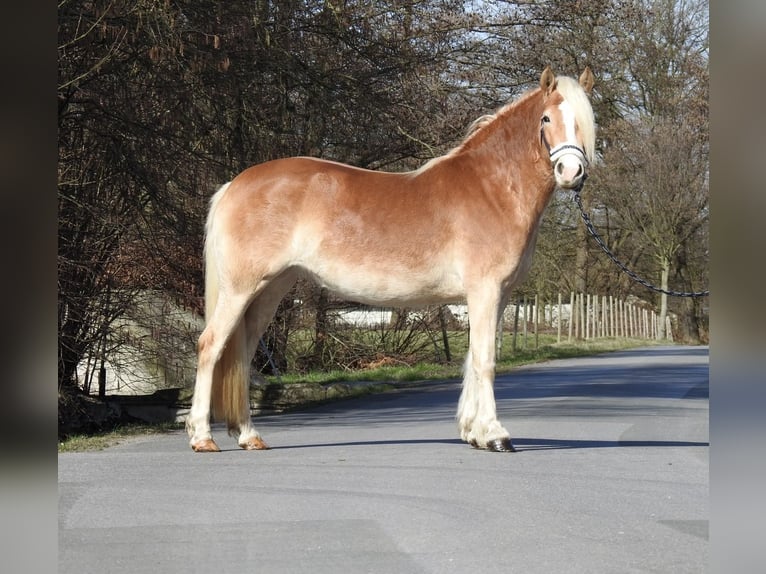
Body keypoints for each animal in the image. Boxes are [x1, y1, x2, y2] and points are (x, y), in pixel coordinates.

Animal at [188, 67, 600, 454]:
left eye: (585, 118)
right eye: (546, 119)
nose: (571, 172)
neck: (492, 187)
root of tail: (233, 186)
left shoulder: (496, 298)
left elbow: (472, 360)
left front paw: (473, 432)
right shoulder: (485, 292)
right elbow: (485, 361)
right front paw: (496, 435)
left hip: (269, 290)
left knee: (241, 353)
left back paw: (248, 435)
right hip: (240, 289)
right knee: (211, 346)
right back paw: (202, 436)